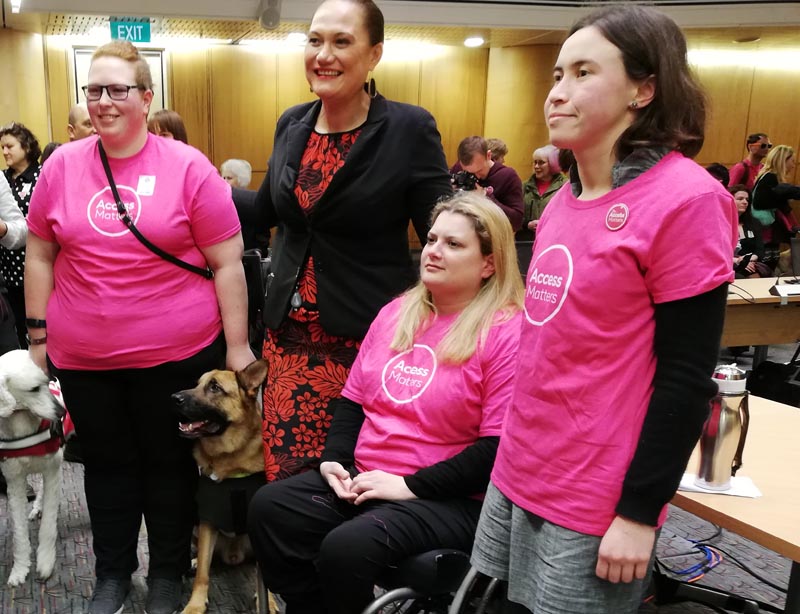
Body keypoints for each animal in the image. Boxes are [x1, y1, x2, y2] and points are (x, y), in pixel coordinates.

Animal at [0, 352, 68, 588]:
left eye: (47, 382)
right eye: (34, 389)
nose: (62, 412)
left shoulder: (52, 470)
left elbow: (48, 526)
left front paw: (46, 561)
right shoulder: (14, 482)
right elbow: (19, 533)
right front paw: (19, 569)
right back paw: (37, 507)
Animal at [173, 360, 276, 614]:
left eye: (215, 387)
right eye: (197, 383)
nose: (173, 397)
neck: (229, 459)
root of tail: (233, 556)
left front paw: (268, 602)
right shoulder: (208, 522)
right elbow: (203, 573)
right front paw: (195, 604)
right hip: (197, 527)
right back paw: (194, 561)